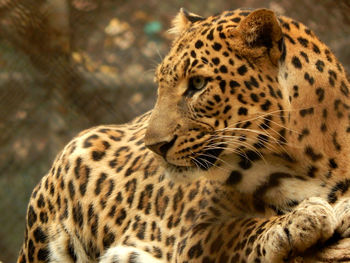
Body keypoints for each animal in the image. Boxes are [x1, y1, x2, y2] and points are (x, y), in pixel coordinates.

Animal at [17, 7, 350, 262]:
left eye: (198, 84)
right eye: (160, 85)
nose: (154, 146)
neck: (307, 161)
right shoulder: (194, 236)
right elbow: (241, 229)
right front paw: (300, 220)